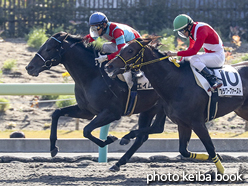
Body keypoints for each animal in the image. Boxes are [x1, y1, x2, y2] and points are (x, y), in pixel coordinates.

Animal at [25, 31, 167, 171]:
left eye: (48, 49)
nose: (29, 67)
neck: (93, 75)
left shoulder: (112, 113)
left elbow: (86, 130)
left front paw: (109, 139)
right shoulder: (86, 111)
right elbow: (57, 113)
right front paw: (53, 148)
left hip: (162, 106)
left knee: (156, 128)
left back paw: (123, 145)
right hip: (149, 110)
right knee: (143, 136)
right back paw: (118, 163)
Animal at [105, 36, 248, 174]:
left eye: (130, 50)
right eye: (122, 49)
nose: (108, 66)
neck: (177, 82)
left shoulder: (197, 123)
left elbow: (210, 147)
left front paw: (221, 170)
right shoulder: (183, 123)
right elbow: (184, 151)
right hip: (241, 110)